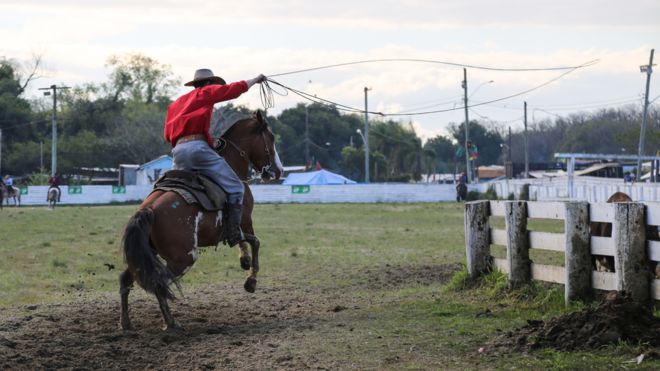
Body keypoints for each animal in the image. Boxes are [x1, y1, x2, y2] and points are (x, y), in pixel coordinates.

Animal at [120, 111, 282, 332]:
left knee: (126, 280)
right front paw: (251, 281)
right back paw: (171, 323)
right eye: (271, 138)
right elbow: (255, 242)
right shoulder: (246, 219)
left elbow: (243, 241)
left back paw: (126, 323)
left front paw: (244, 260)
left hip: (145, 257)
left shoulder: (238, 225)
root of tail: (149, 209)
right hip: (183, 258)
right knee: (159, 284)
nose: (278, 171)